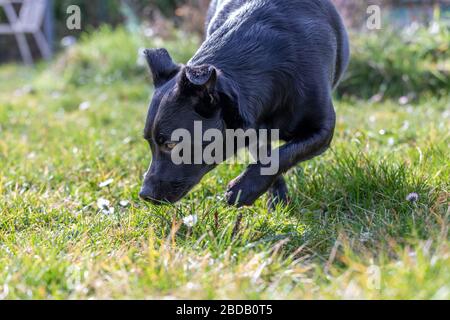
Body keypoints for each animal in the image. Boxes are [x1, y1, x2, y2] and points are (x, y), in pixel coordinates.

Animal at [139, 0, 350, 209]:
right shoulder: (254, 131)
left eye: (171, 144)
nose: (144, 194)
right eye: (149, 142)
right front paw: (276, 198)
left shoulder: (323, 129)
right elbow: (266, 155)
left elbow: (281, 155)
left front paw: (243, 188)